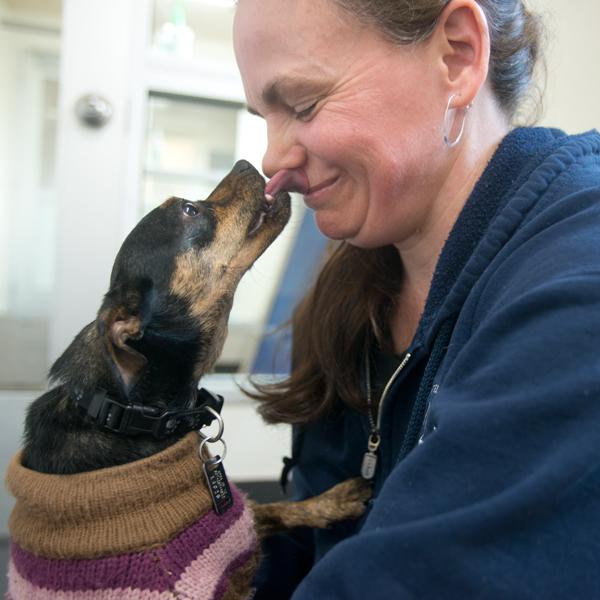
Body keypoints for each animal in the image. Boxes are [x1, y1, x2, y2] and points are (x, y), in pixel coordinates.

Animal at [5, 161, 370, 600]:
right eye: (190, 211)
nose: (246, 164)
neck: (139, 416)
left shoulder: (241, 526)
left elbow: (277, 508)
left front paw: (335, 500)